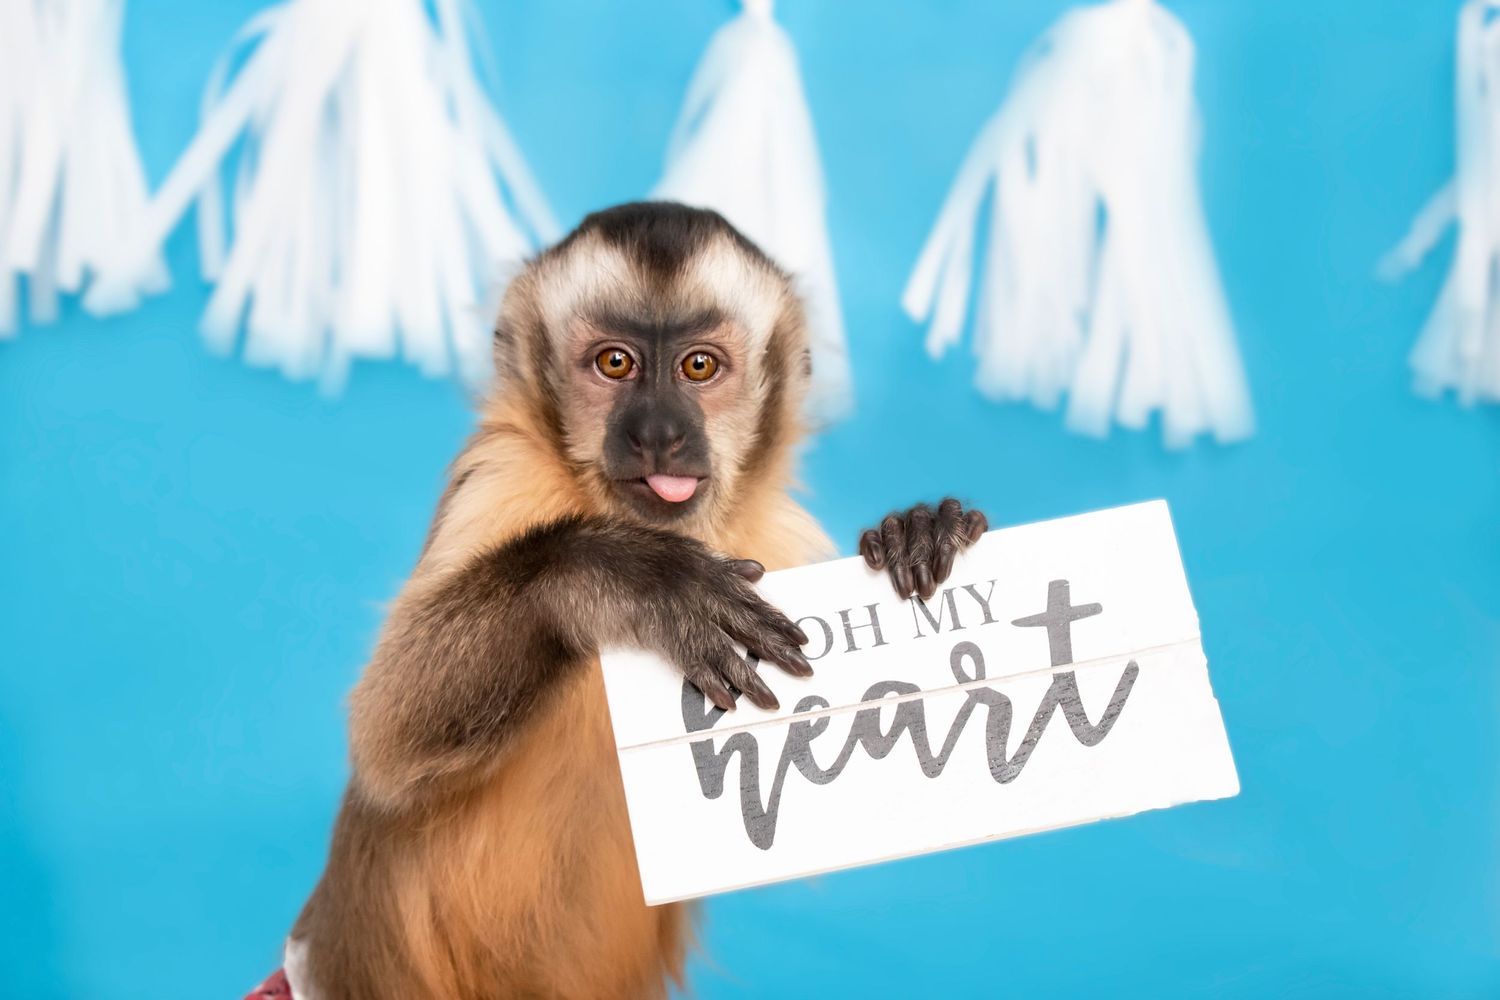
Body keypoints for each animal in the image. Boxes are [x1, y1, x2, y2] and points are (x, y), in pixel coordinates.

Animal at [258, 202, 988, 1000]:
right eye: (616, 363)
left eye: (699, 366)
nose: (658, 433)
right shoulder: (495, 478)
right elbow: (386, 741)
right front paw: (623, 578)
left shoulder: (780, 540)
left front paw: (913, 532)